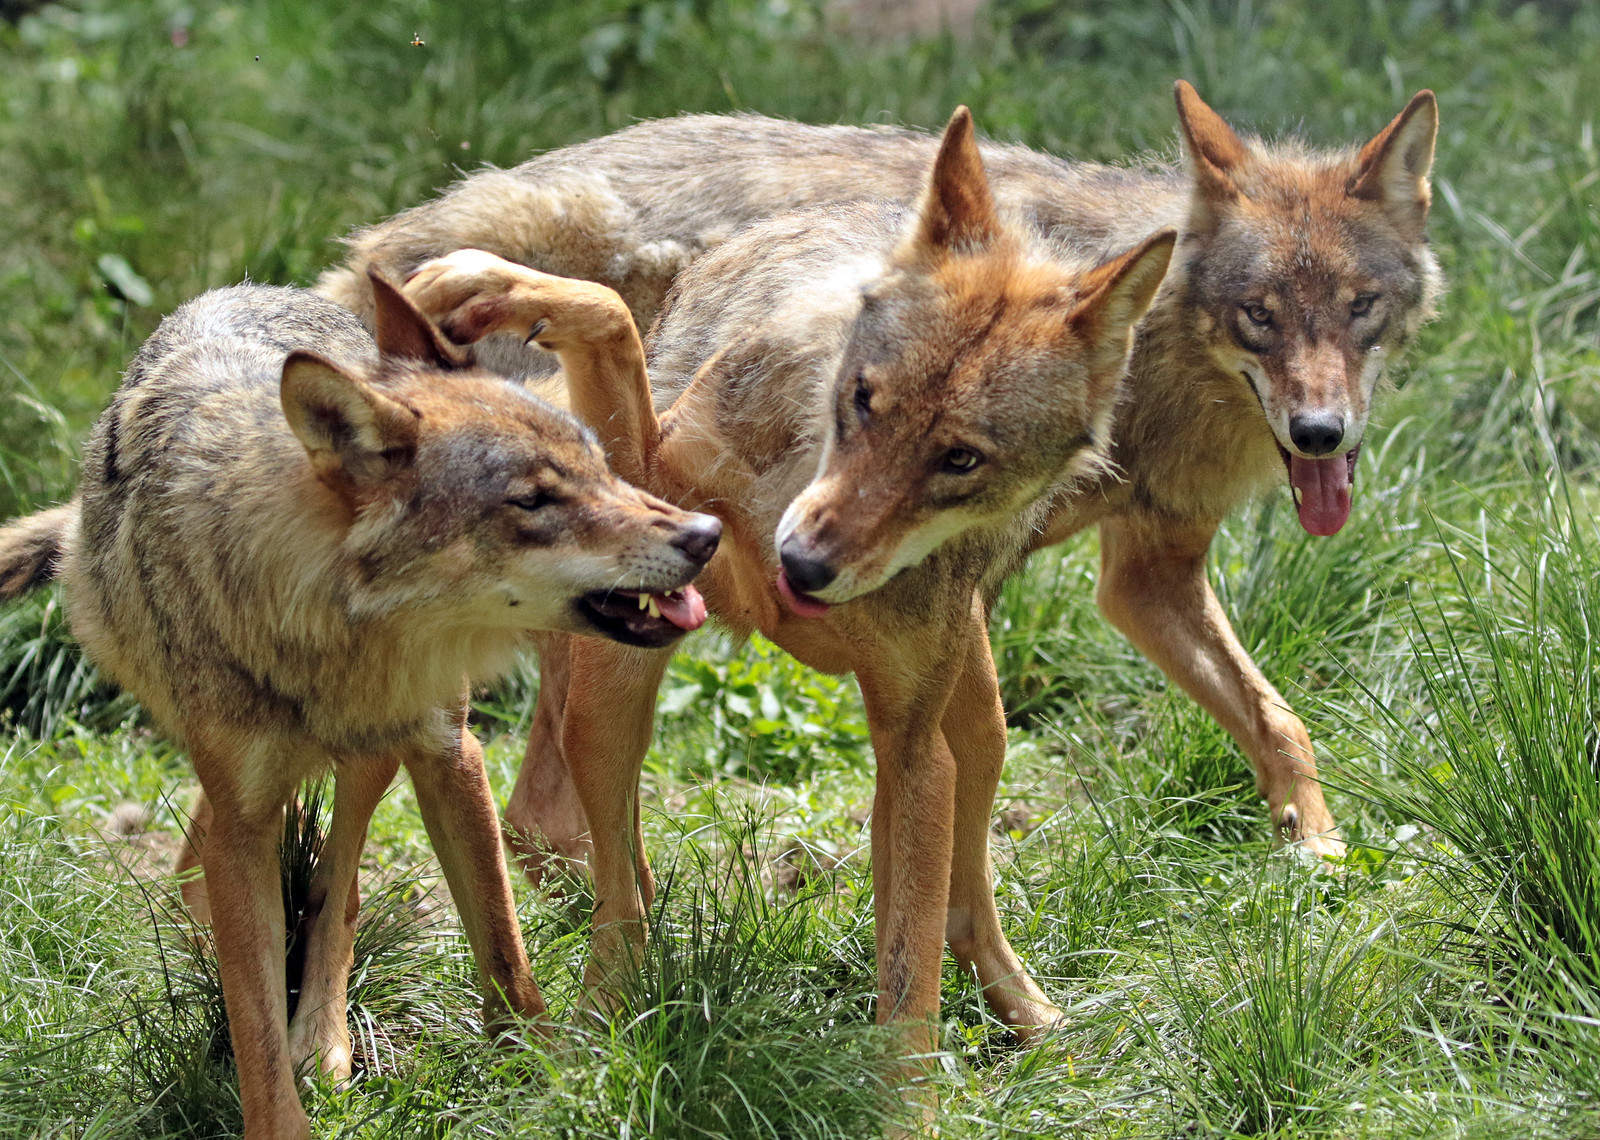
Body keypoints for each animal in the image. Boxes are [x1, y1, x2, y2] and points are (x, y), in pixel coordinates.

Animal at [0, 274, 720, 1139]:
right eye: (533, 501)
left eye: (601, 467)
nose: (706, 531)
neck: (324, 632)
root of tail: (263, 286)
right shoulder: (245, 822)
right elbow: (253, 1027)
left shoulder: (450, 752)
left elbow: (503, 950)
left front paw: (549, 1076)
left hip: (382, 755)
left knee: (336, 886)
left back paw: (326, 1038)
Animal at [322, 82, 1441, 860]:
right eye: (1259, 314)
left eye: (1358, 309)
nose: (1319, 433)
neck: (1157, 361)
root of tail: (397, 235)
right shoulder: (978, 590)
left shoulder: (1146, 578)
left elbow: (1279, 720)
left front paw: (1319, 847)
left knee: (534, 801)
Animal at [400, 107, 1176, 1071]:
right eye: (865, 399)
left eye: (960, 460)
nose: (801, 566)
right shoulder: (644, 485)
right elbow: (611, 326)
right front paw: (501, 288)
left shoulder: (913, 749)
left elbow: (908, 975)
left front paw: (911, 1092)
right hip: (612, 700)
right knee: (610, 891)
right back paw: (598, 1028)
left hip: (977, 729)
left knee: (962, 904)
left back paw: (1034, 1018)